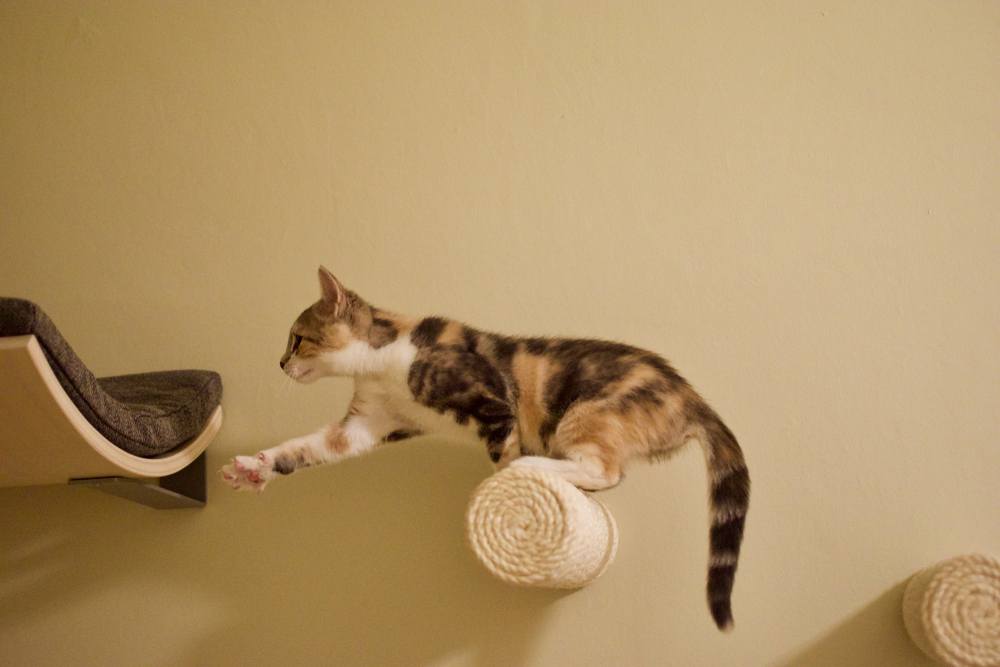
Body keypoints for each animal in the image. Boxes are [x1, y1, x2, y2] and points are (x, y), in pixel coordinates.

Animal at [221, 266, 752, 632]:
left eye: (298, 338)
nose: (280, 362)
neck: (383, 362)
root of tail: (691, 397)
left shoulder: (494, 403)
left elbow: (504, 456)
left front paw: (506, 494)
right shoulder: (366, 424)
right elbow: (307, 449)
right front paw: (253, 467)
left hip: (587, 412)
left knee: (605, 470)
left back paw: (542, 463)